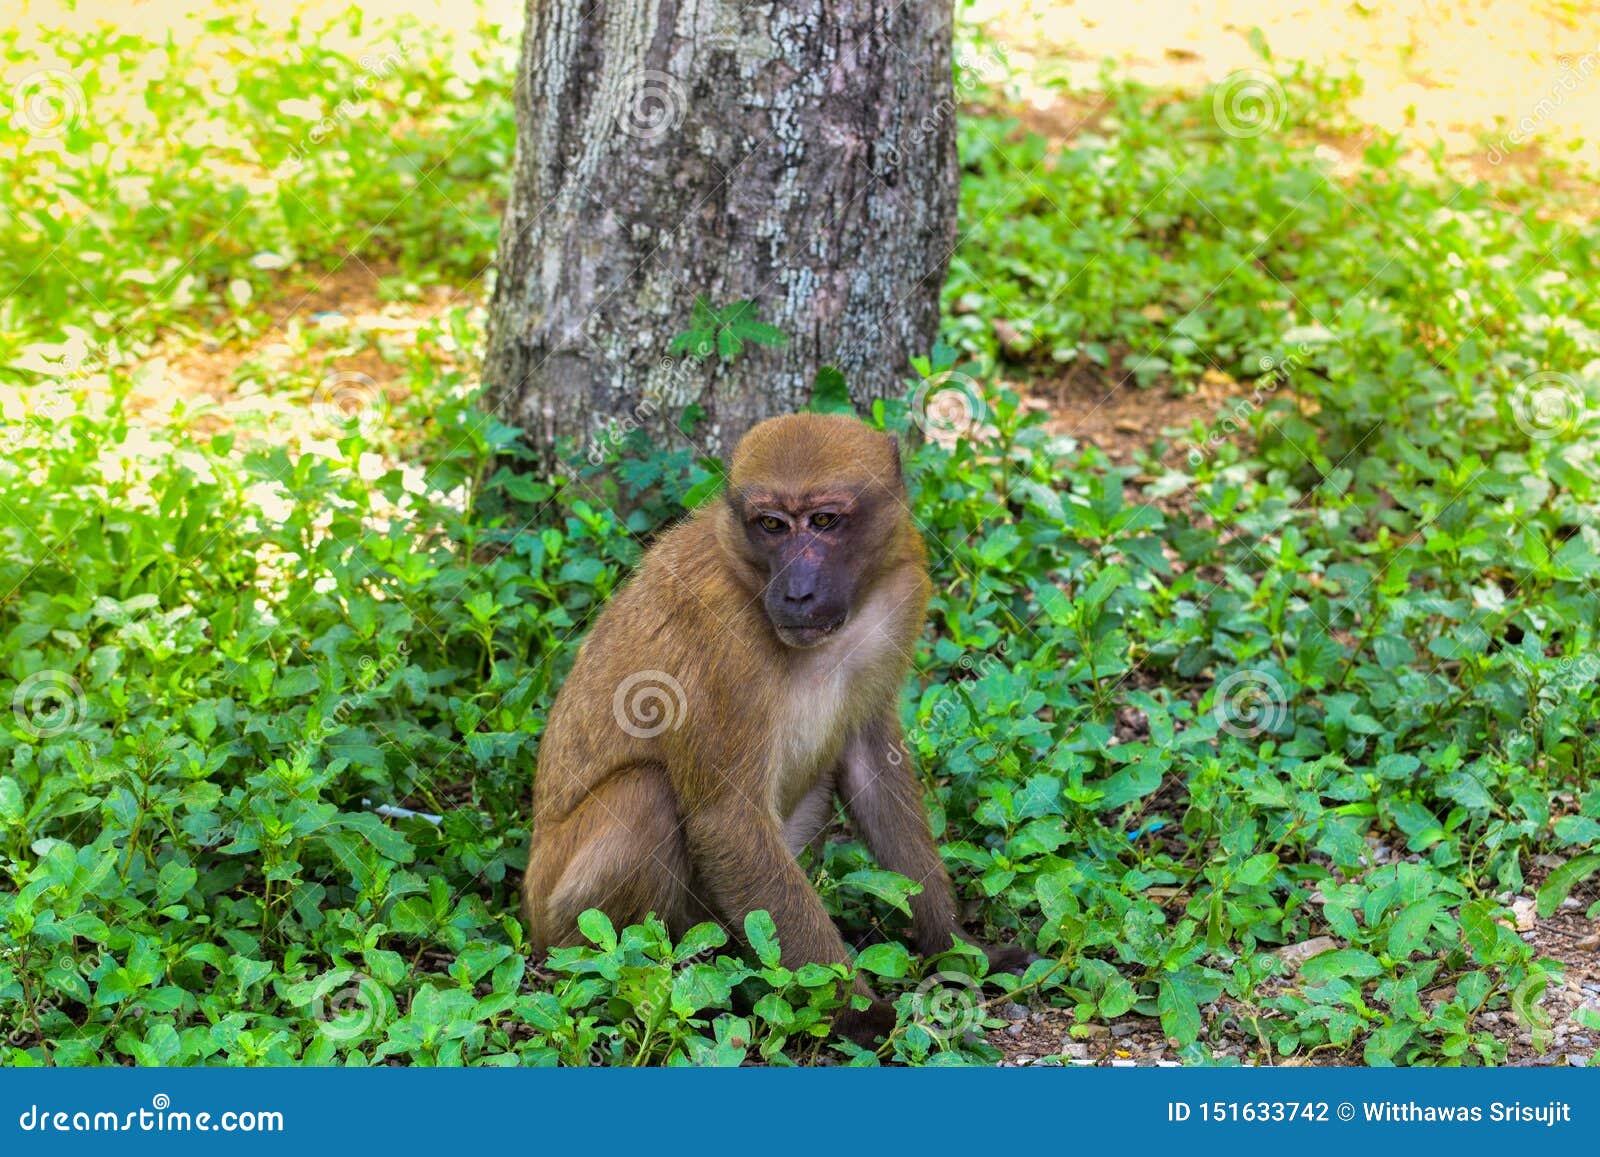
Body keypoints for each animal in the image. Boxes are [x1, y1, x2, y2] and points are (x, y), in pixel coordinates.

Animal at [524, 412, 1024, 1043]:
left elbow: (869, 763)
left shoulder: (900, 590)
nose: (796, 590)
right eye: (772, 525)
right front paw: (866, 1015)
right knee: (648, 792)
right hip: (566, 915)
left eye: (824, 521)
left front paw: (960, 950)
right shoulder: (723, 642)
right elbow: (727, 821)